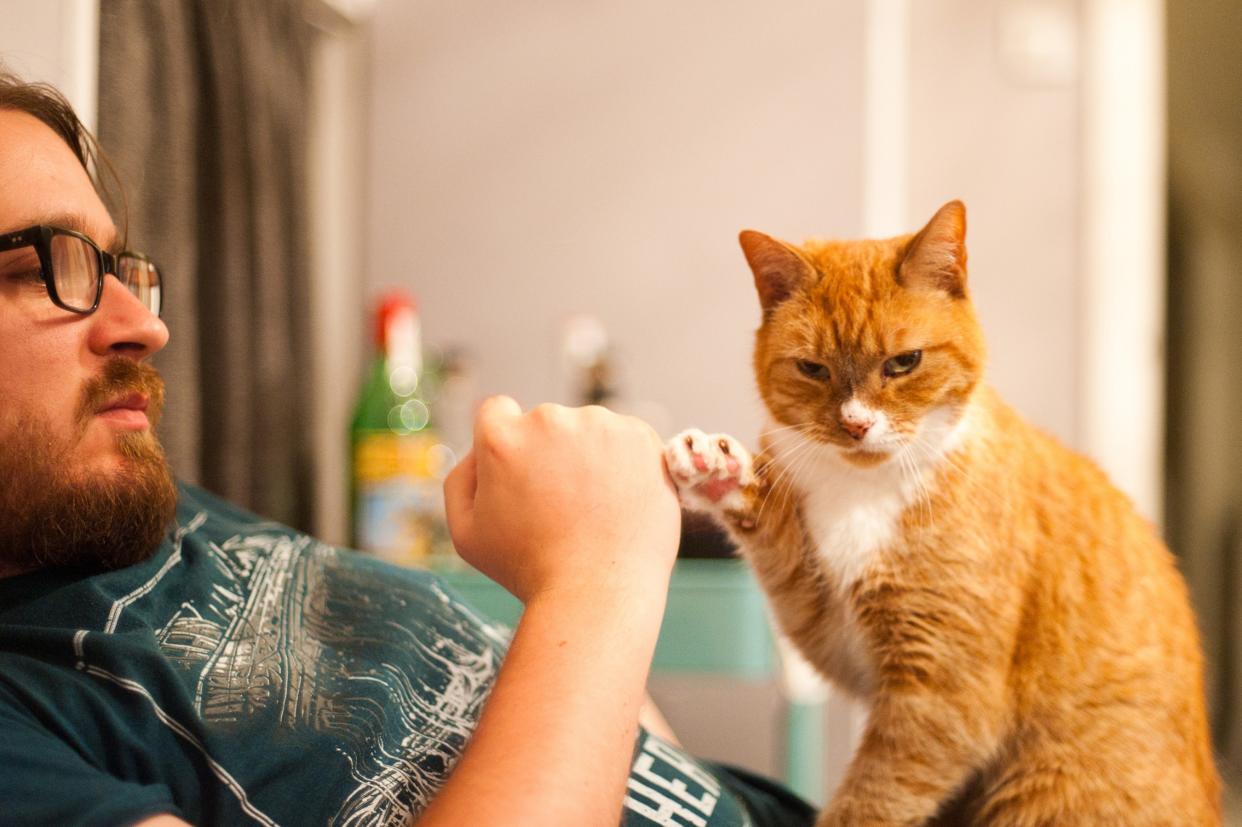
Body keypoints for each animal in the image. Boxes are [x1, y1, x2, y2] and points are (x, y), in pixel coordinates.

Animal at [665, 201, 1217, 824]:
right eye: (813, 369)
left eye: (904, 362)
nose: (855, 424)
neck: (867, 489)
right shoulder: (831, 628)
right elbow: (778, 539)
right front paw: (716, 471)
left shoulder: (941, 697)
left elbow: (870, 801)